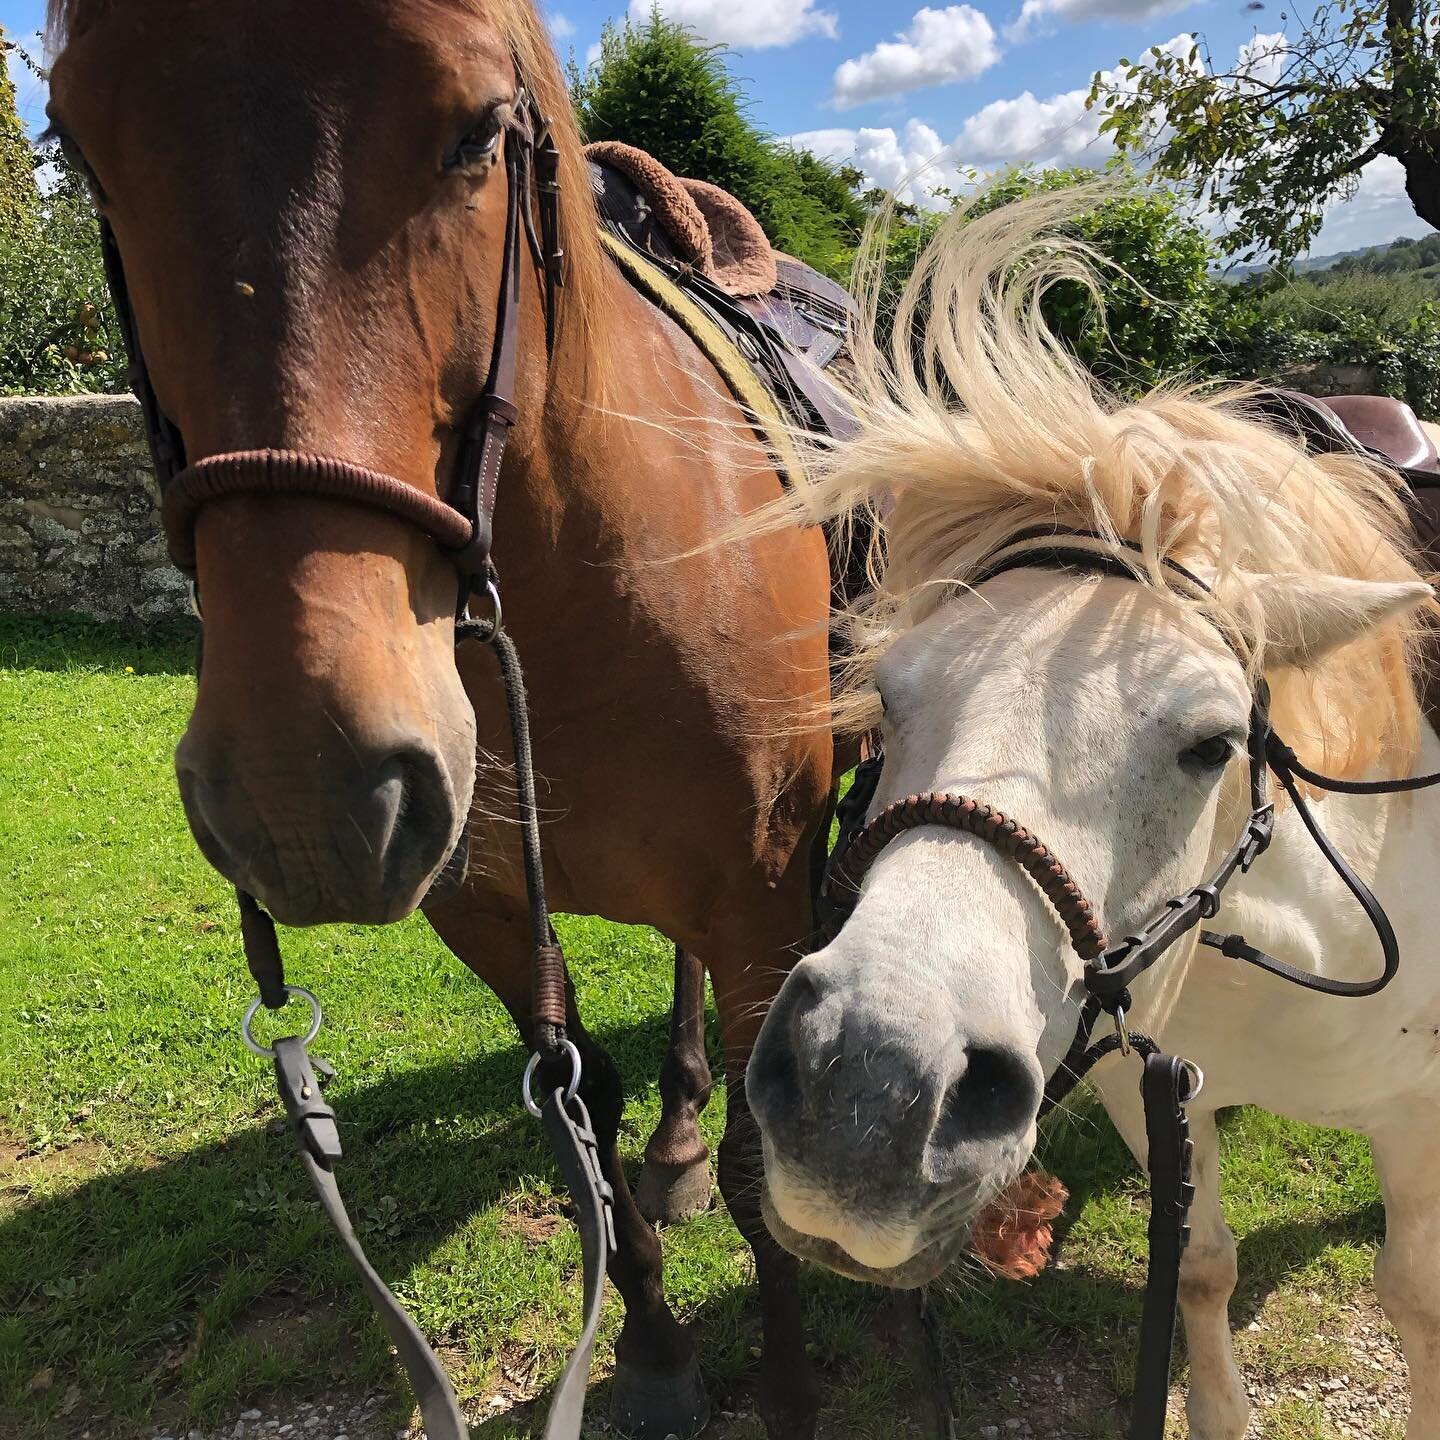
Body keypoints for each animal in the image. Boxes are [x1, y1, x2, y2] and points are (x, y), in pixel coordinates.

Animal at [45, 2, 835, 1440]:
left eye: (477, 134)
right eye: (83, 151)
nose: (305, 793)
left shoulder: (760, 897)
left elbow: (770, 1178)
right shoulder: (488, 910)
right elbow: (583, 1125)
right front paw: (654, 1344)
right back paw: (679, 1140)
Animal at [743, 194, 1440, 1440]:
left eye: (1212, 743)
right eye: (889, 701)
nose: (861, 1097)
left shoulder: (1419, 1114)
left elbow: (1413, 1293)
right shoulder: (1148, 1086)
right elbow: (1202, 1267)